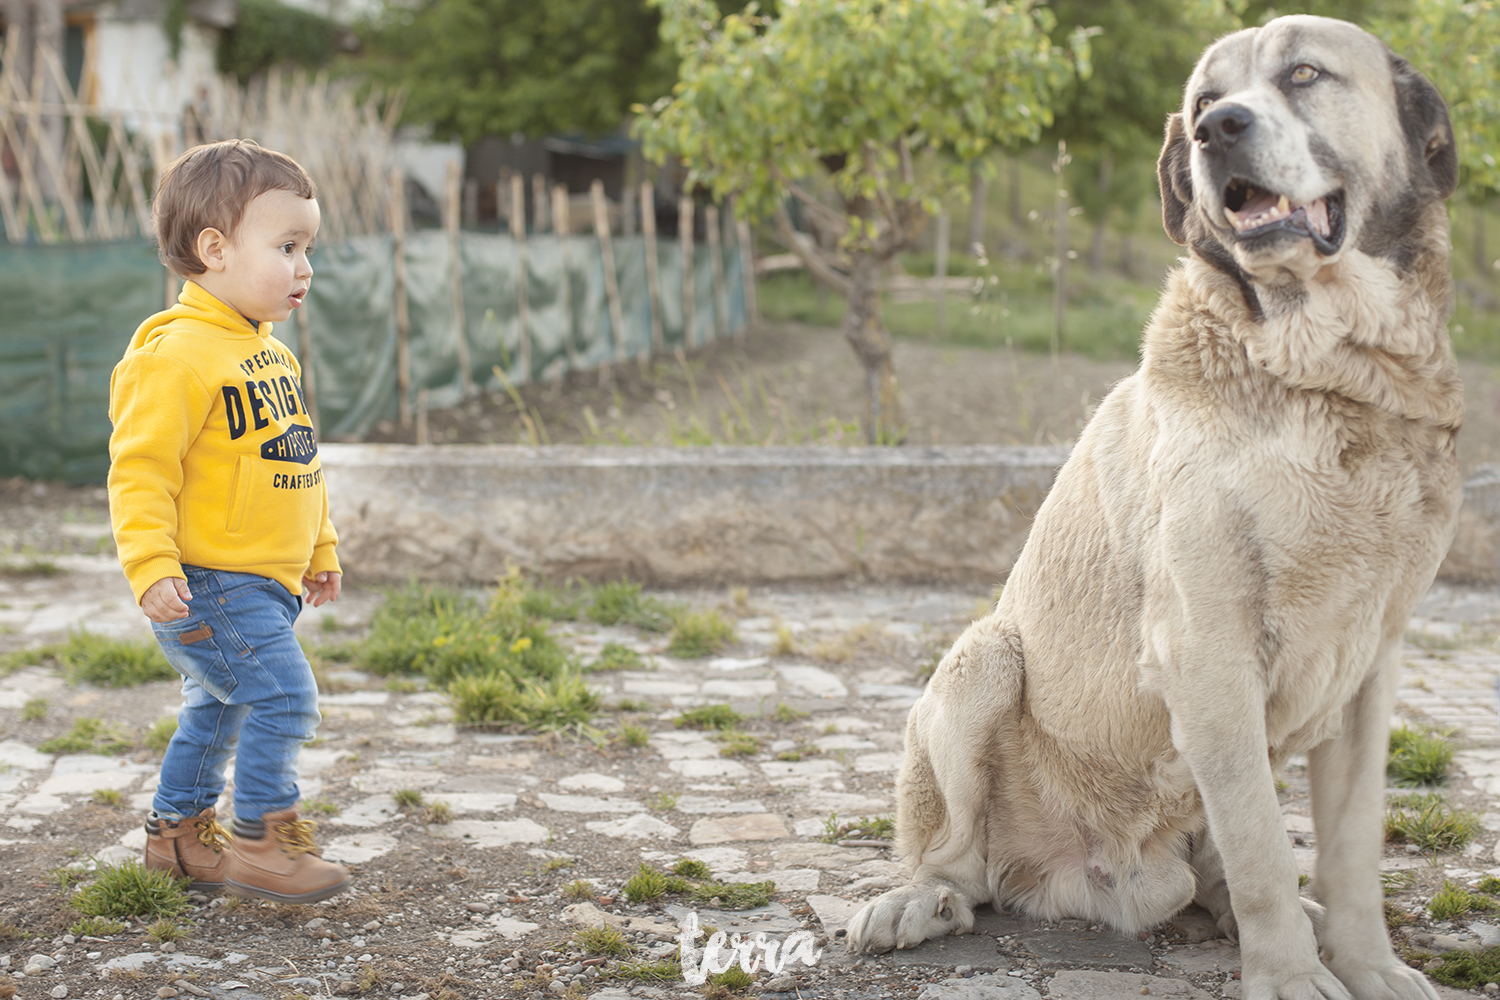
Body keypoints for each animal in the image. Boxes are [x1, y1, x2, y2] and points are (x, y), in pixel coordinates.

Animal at [858, 15, 1464, 1000]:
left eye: (1304, 74)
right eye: (1203, 100)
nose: (1220, 127)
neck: (1338, 377)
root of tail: (1087, 882)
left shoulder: (1367, 673)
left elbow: (1348, 850)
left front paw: (1368, 966)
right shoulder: (1207, 653)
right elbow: (1263, 847)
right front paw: (1291, 979)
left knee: (1212, 863)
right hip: (985, 658)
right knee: (958, 859)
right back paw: (919, 900)